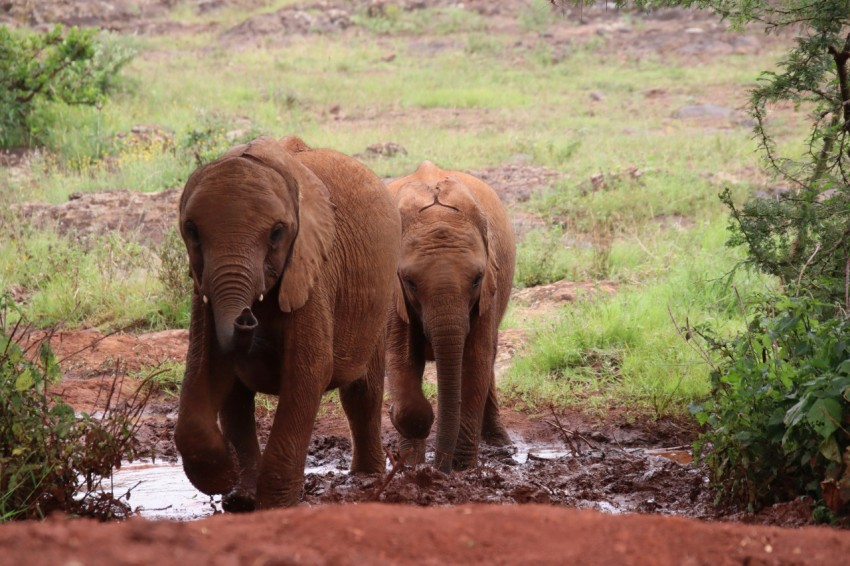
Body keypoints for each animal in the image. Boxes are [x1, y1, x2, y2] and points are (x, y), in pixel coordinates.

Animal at [174, 136, 400, 510]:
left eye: (277, 233)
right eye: (191, 230)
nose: (247, 319)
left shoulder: (313, 269)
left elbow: (309, 371)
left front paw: (276, 505)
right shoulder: (200, 286)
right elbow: (203, 368)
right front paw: (226, 479)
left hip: (379, 301)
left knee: (362, 392)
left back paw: (365, 478)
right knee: (237, 399)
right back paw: (241, 498)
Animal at [386, 163, 516, 474]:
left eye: (477, 279)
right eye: (410, 282)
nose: (439, 470)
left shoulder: (489, 291)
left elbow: (475, 361)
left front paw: (461, 469)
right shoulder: (393, 294)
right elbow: (401, 358)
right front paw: (412, 464)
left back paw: (502, 445)